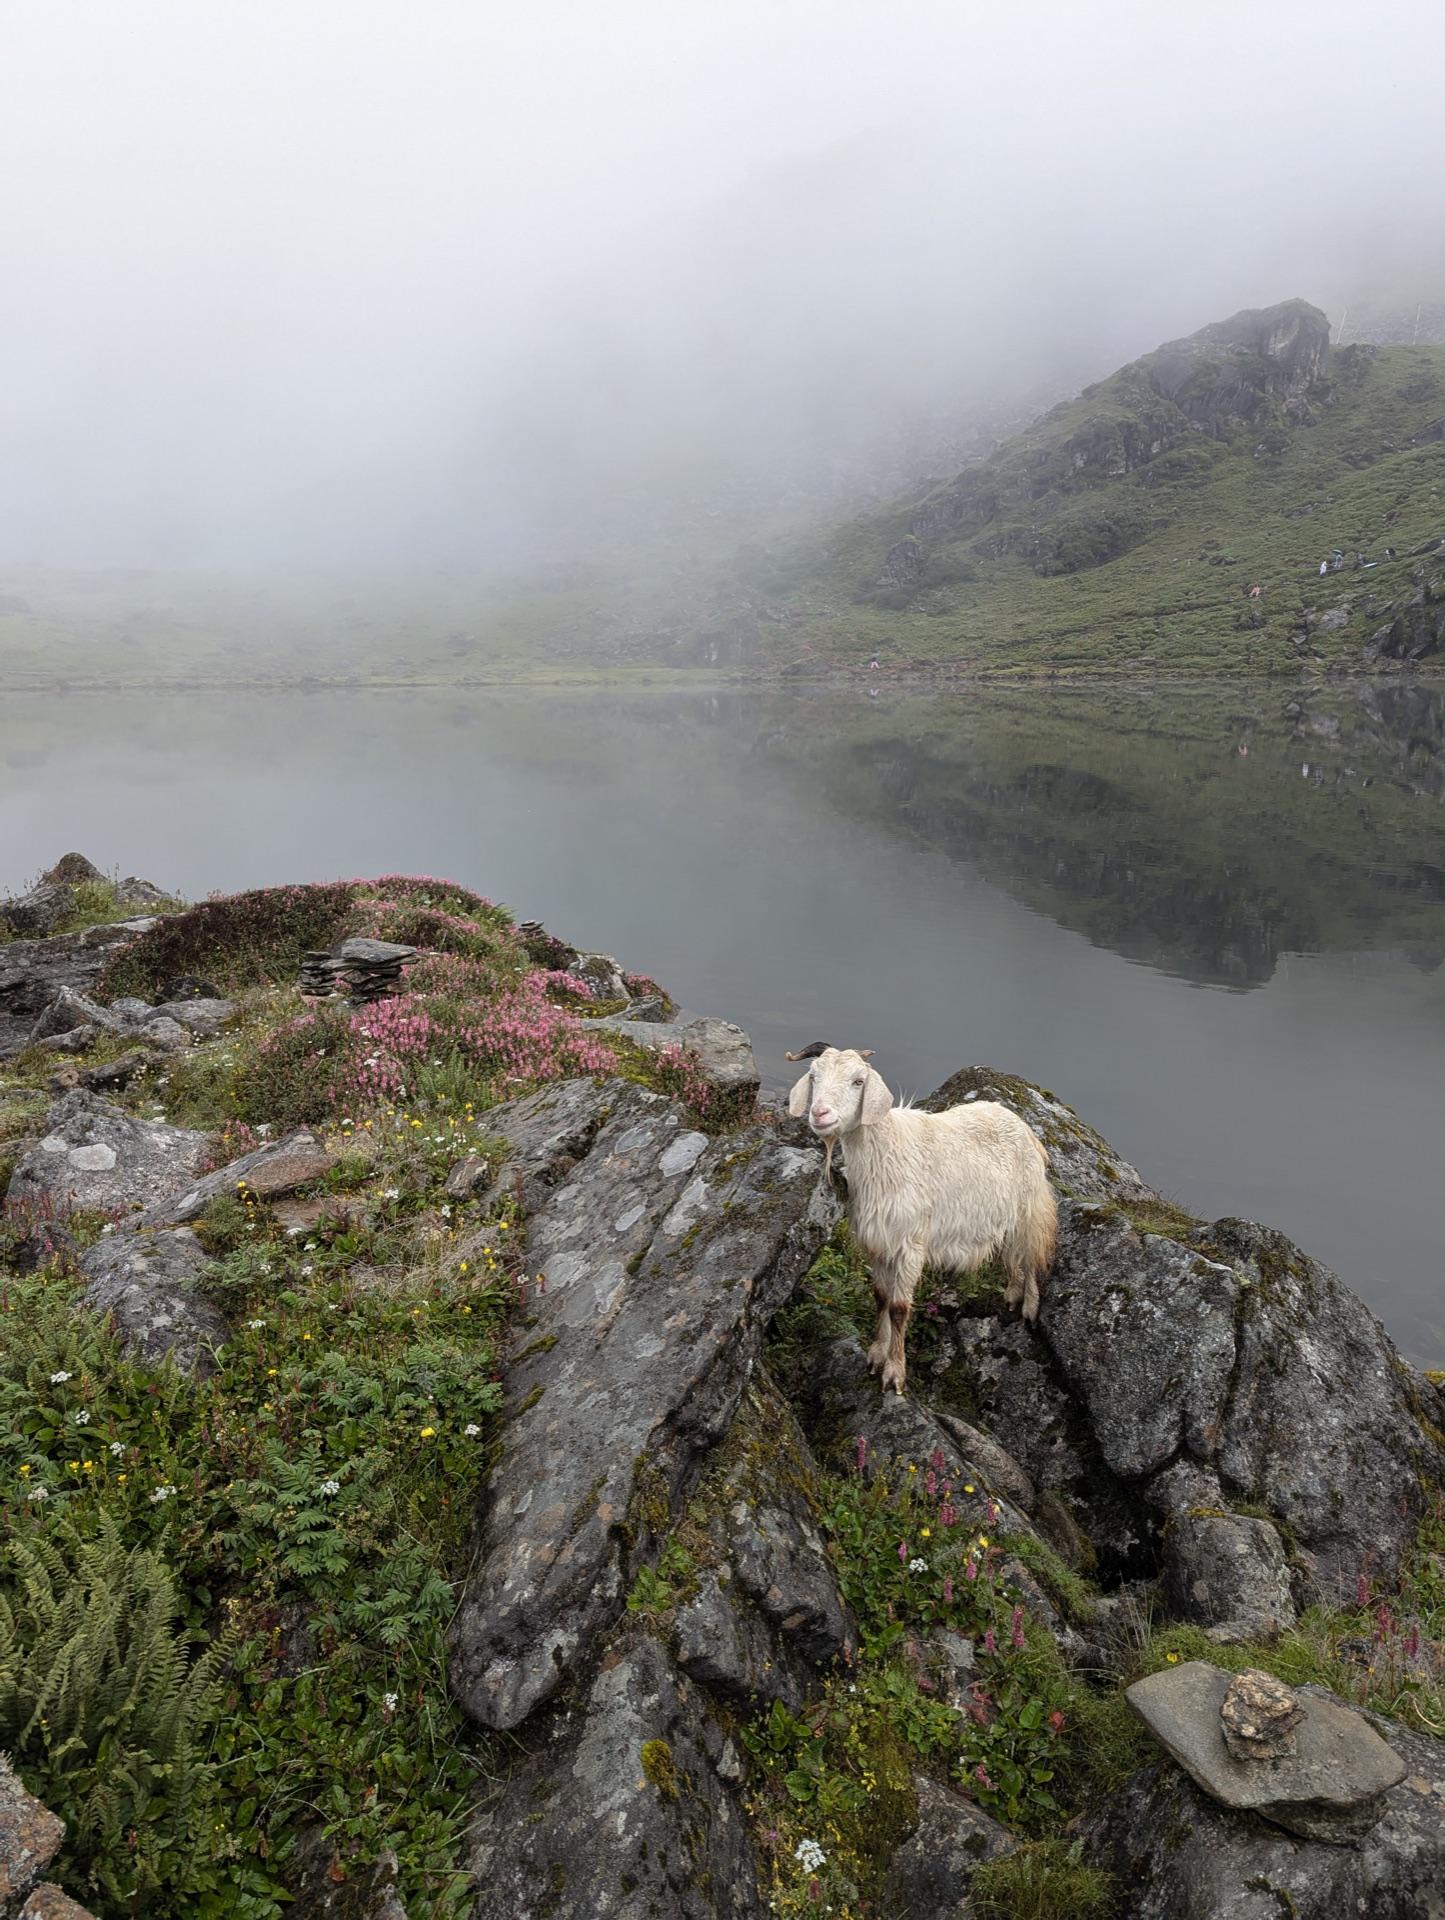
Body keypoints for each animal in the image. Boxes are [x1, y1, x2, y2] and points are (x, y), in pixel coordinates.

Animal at [787, 1046, 1056, 1395]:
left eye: (859, 1081)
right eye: (813, 1076)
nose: (820, 1114)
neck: (884, 1151)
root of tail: (1020, 1123)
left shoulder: (910, 1244)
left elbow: (899, 1308)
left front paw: (894, 1374)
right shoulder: (878, 1243)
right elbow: (881, 1298)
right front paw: (876, 1355)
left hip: (1029, 1207)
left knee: (1032, 1254)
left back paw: (1029, 1308)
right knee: (1014, 1255)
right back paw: (1012, 1294)